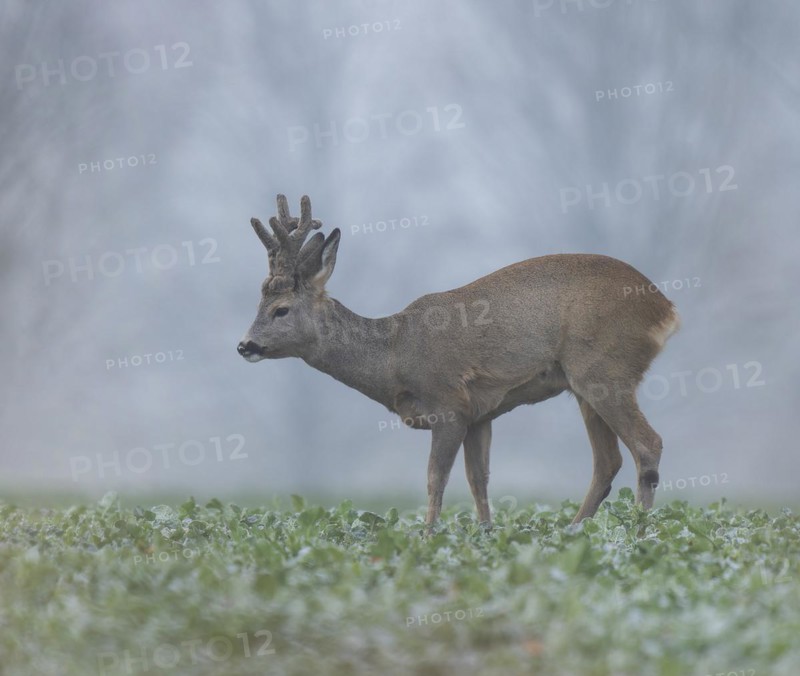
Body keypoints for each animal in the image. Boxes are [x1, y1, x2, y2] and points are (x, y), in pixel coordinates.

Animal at [237, 195, 680, 529]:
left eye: (280, 309)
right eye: (258, 303)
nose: (245, 345)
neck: (394, 354)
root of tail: (666, 308)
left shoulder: (448, 403)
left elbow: (436, 478)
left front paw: (427, 536)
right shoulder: (479, 414)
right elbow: (477, 479)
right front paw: (486, 533)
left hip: (604, 369)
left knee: (648, 445)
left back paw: (638, 530)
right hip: (585, 385)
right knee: (608, 461)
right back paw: (573, 530)